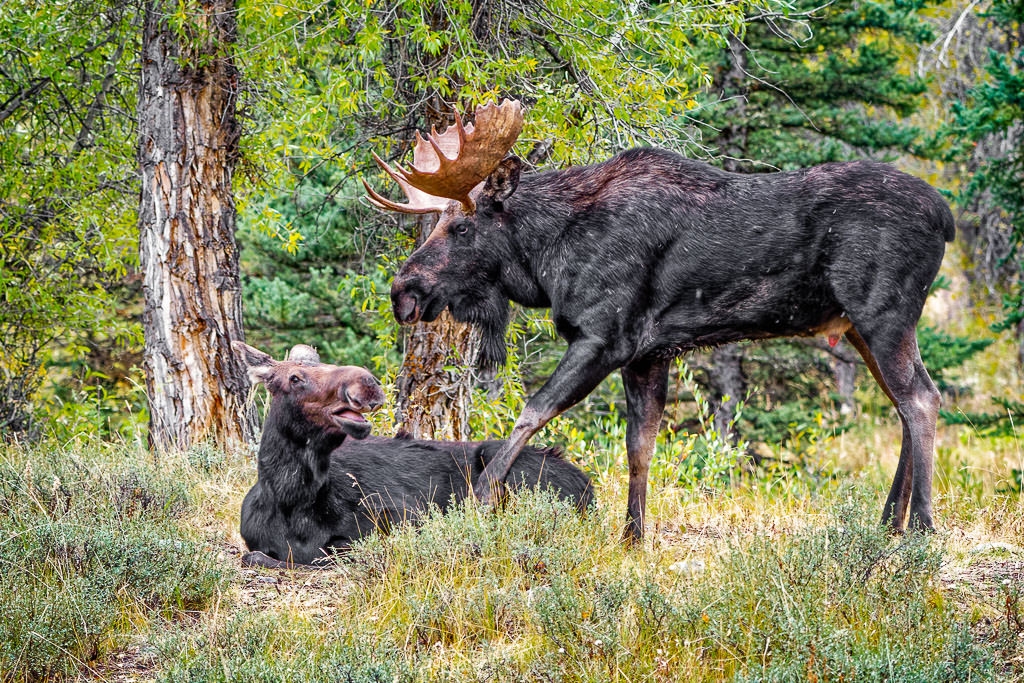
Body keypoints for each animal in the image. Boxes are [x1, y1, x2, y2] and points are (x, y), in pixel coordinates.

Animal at [234, 342, 593, 573]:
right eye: (294, 378)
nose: (367, 384)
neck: (291, 501)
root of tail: (590, 488)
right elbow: (258, 556)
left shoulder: (405, 515)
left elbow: (330, 552)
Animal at [364, 98, 954, 540]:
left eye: (461, 228)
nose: (402, 291)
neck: (547, 258)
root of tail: (945, 217)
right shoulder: (649, 352)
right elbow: (639, 445)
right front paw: (633, 534)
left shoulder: (604, 337)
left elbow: (533, 411)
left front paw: (482, 495)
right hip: (858, 326)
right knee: (905, 404)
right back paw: (889, 522)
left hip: (882, 313)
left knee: (922, 399)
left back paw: (922, 527)